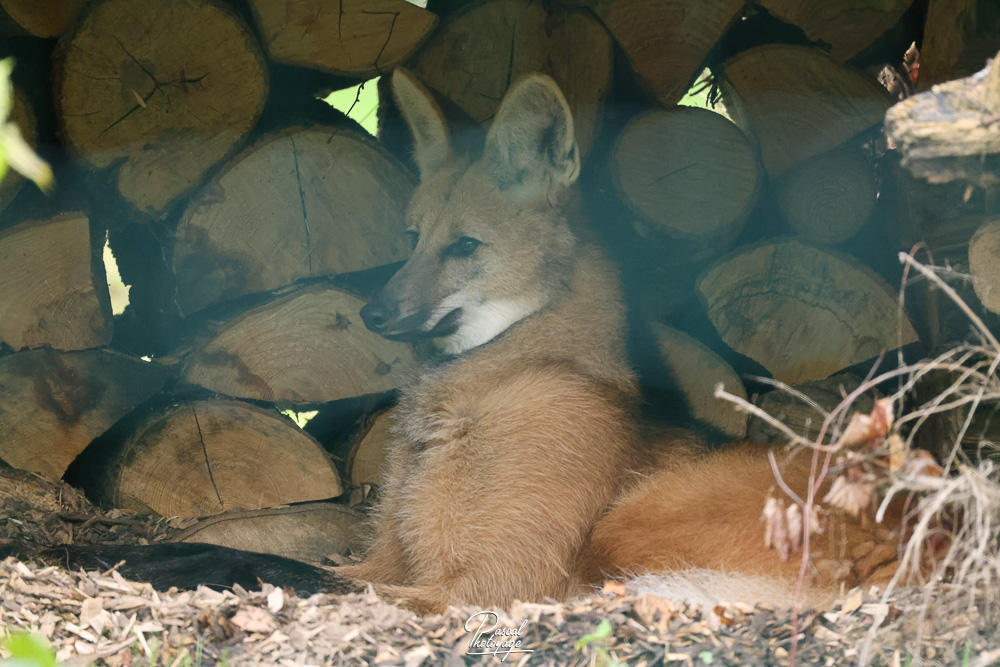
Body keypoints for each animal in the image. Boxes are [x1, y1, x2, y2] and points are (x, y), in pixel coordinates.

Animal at [338, 68, 908, 614]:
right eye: (413, 240)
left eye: (464, 246)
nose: (372, 313)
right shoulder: (385, 559)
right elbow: (341, 569)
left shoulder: (487, 585)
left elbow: (333, 583)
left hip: (627, 525)